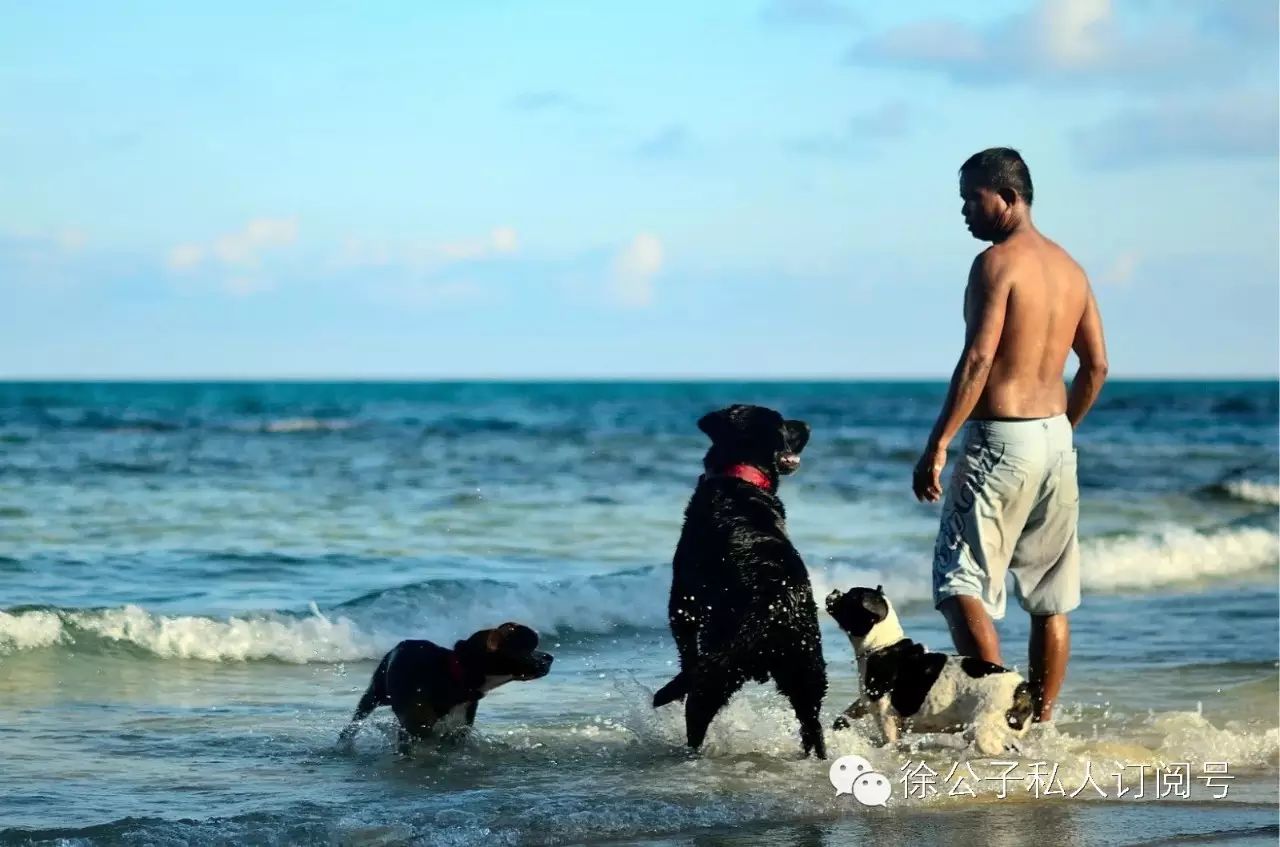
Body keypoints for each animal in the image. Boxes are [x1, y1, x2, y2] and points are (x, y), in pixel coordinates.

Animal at [340, 624, 555, 757]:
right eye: (529, 648)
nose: (550, 657)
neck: (459, 676)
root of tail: (402, 643)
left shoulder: (457, 731)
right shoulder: (414, 729)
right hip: (375, 694)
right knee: (357, 719)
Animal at [655, 406, 824, 762]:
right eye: (785, 425)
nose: (807, 424)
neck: (742, 478)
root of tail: (776, 602)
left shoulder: (682, 601)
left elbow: (686, 649)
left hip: (719, 668)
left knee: (698, 710)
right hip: (807, 665)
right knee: (812, 724)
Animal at [824, 591, 1034, 757]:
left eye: (849, 597)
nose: (834, 592)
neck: (882, 644)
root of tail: (1023, 688)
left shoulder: (886, 716)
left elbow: (890, 740)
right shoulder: (867, 701)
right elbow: (850, 712)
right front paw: (839, 726)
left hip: (985, 731)